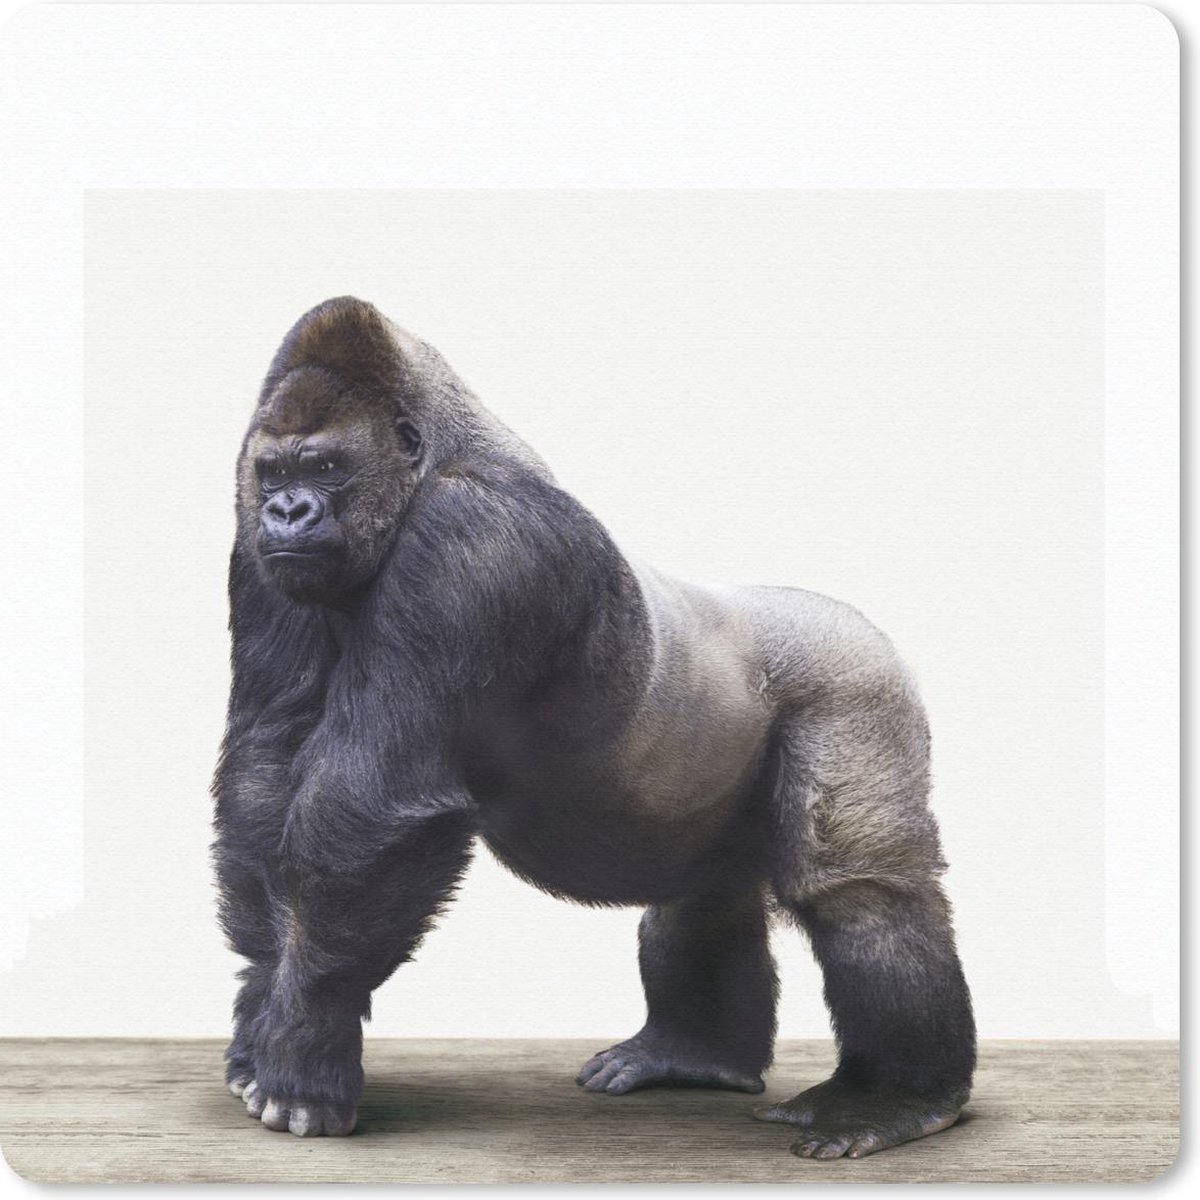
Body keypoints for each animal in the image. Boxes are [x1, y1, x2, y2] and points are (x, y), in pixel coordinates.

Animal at [212, 297, 975, 1159]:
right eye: (275, 474)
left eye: (326, 468)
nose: (287, 510)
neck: (433, 460)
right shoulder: (255, 557)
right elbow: (264, 775)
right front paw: (261, 1016)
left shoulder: (475, 541)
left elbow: (372, 808)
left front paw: (306, 1042)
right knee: (706, 892)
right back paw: (695, 1055)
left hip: (855, 678)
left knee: (858, 890)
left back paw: (896, 1098)